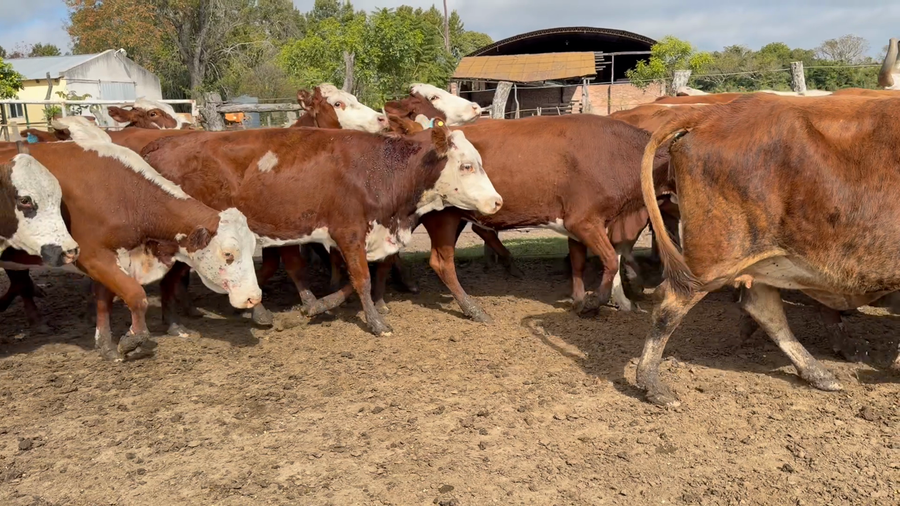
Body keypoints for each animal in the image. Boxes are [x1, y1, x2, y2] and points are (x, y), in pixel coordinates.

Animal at [0, 117, 262, 360]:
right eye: (228, 254)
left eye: (252, 249)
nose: (254, 297)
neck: (121, 193)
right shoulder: (93, 257)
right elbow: (136, 296)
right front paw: (135, 340)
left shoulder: (111, 258)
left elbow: (104, 301)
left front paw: (105, 344)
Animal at [135, 125, 502, 336]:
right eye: (466, 166)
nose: (496, 201)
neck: (376, 170)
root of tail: (160, 144)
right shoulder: (349, 232)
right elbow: (362, 279)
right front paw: (376, 323)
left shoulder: (348, 239)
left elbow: (351, 281)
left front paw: (315, 306)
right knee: (171, 277)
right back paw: (174, 324)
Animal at [635, 93, 900, 408]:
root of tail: (714, 113)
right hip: (715, 257)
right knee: (669, 303)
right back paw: (652, 384)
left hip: (765, 257)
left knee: (765, 309)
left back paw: (817, 373)